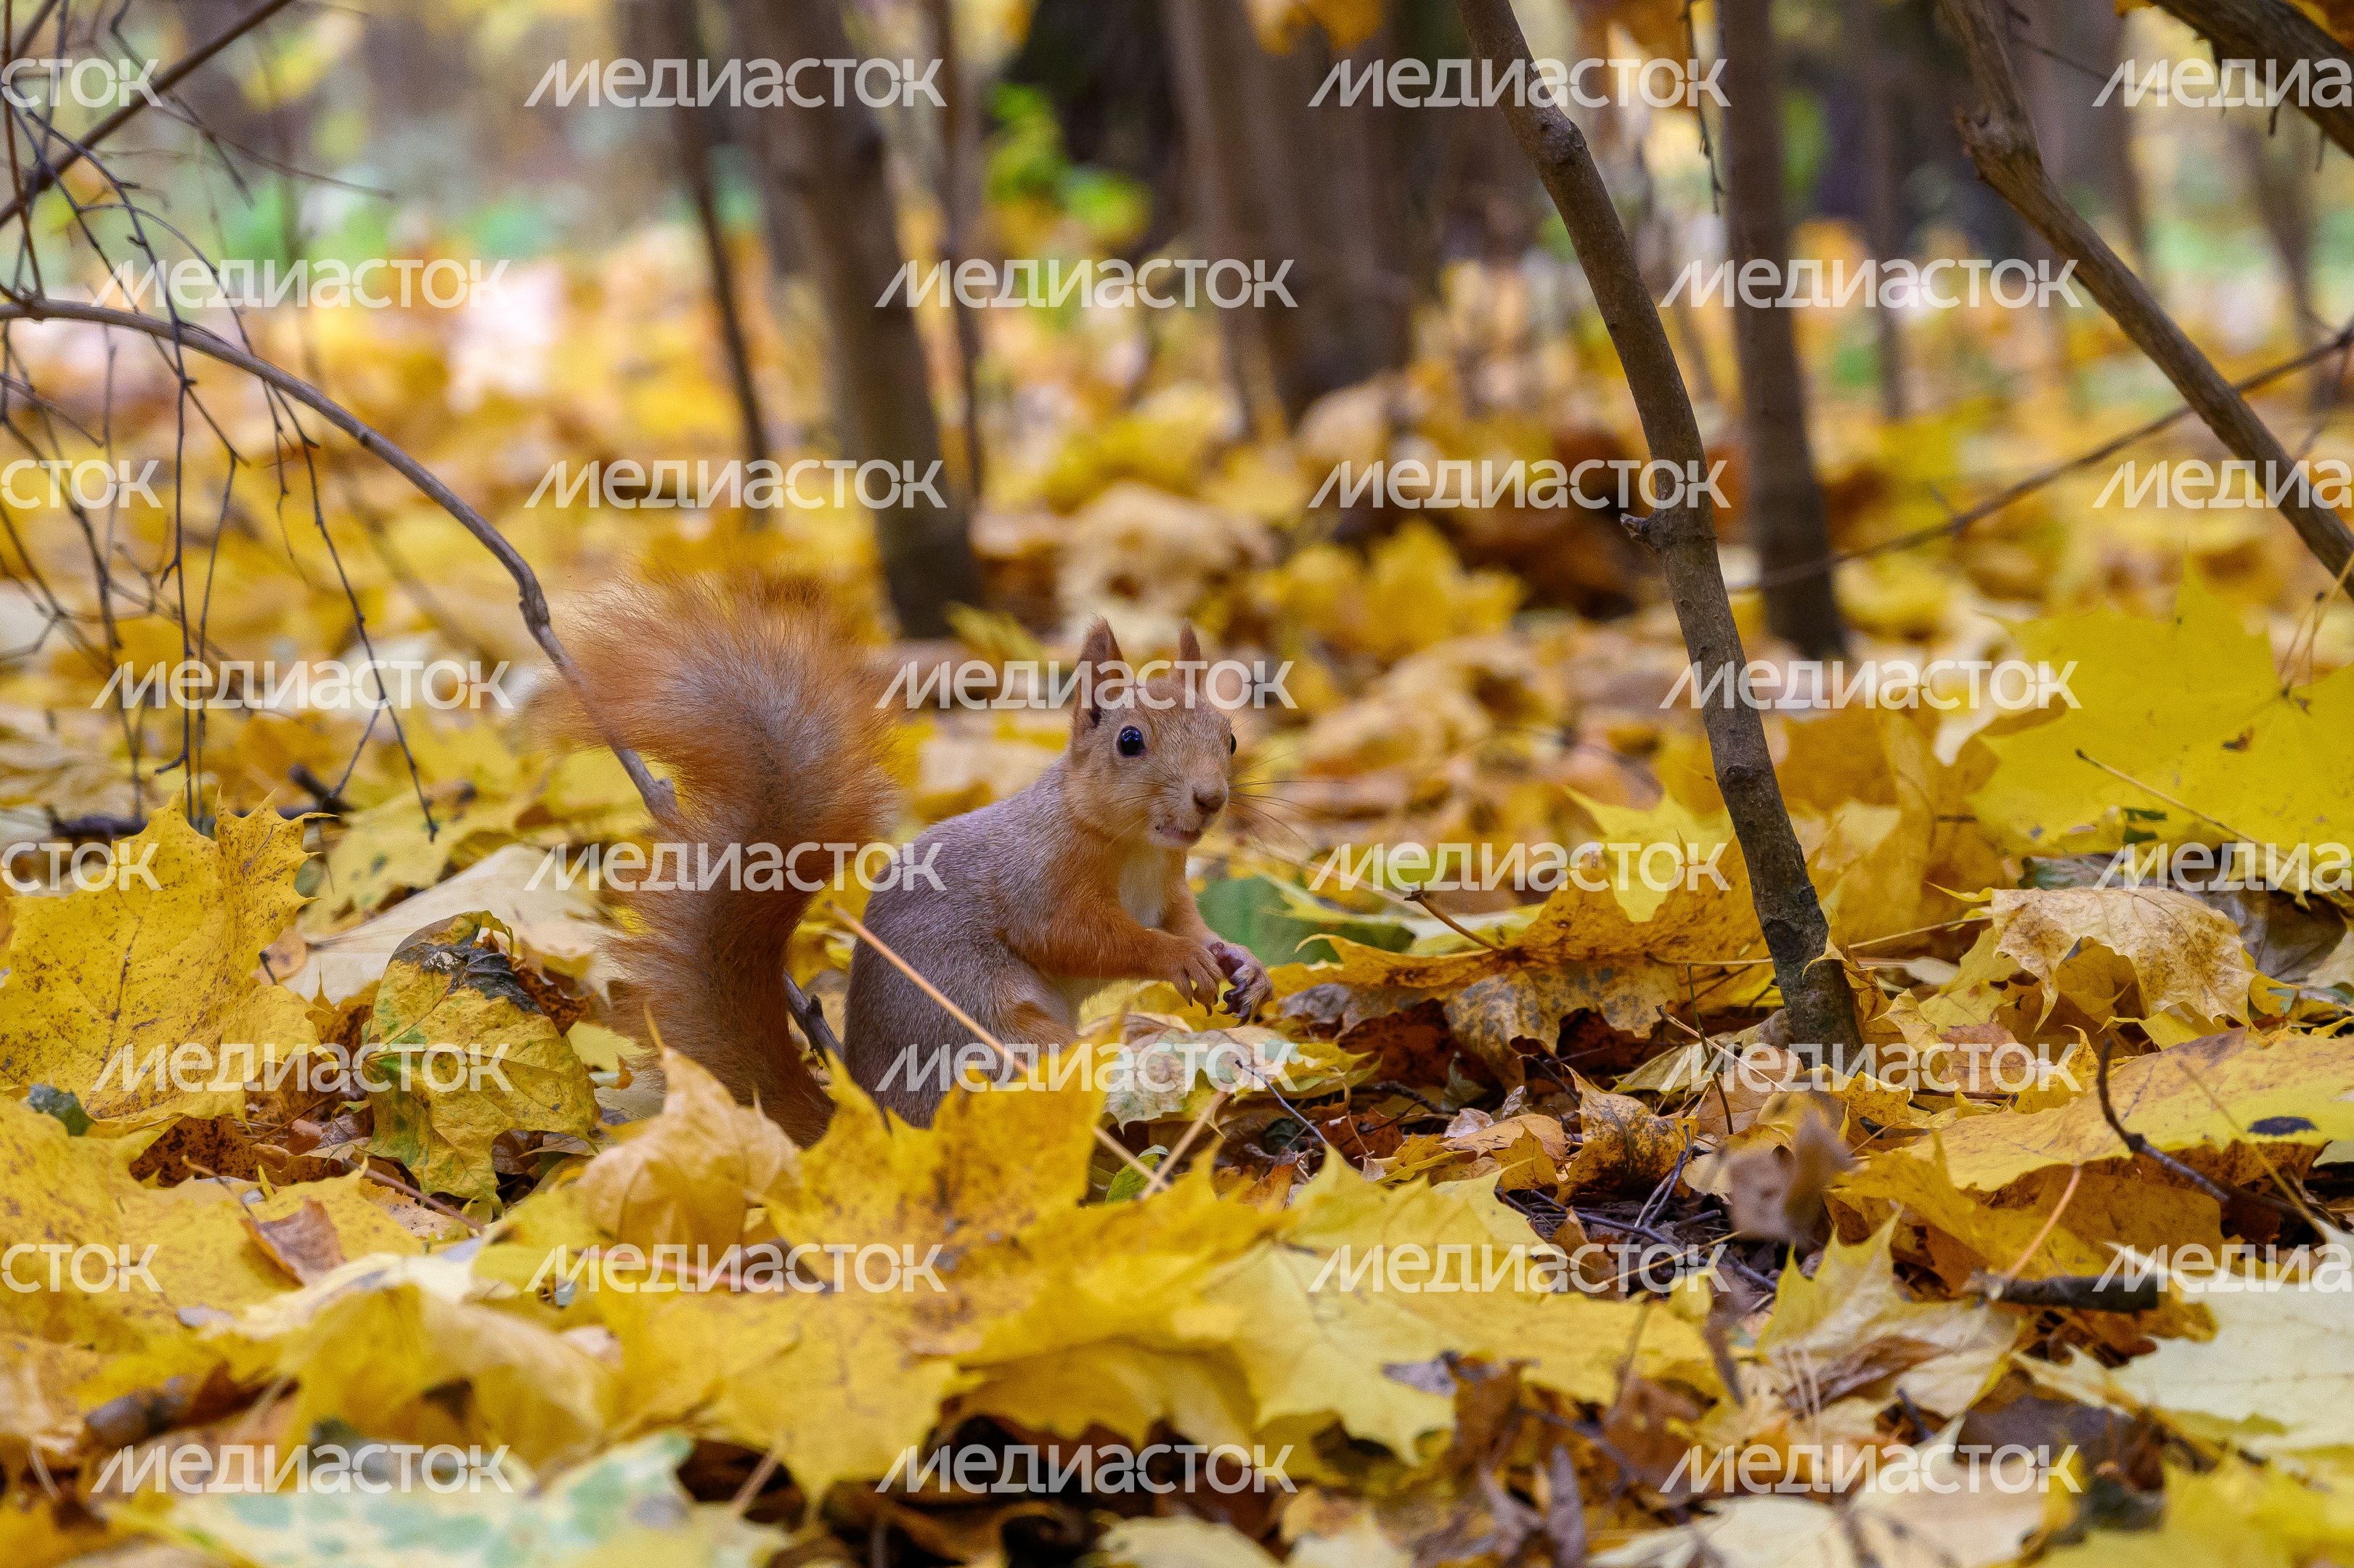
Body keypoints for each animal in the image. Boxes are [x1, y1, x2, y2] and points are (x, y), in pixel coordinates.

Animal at [555, 574, 1273, 1145]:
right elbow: (1076, 937)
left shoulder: (1169, 889)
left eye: (1229, 737)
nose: (1210, 799)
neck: (1138, 849)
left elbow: (1191, 924)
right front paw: (1173, 958)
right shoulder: (1040, 879)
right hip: (995, 1046)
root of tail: (882, 1134)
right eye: (1129, 741)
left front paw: (1242, 963)